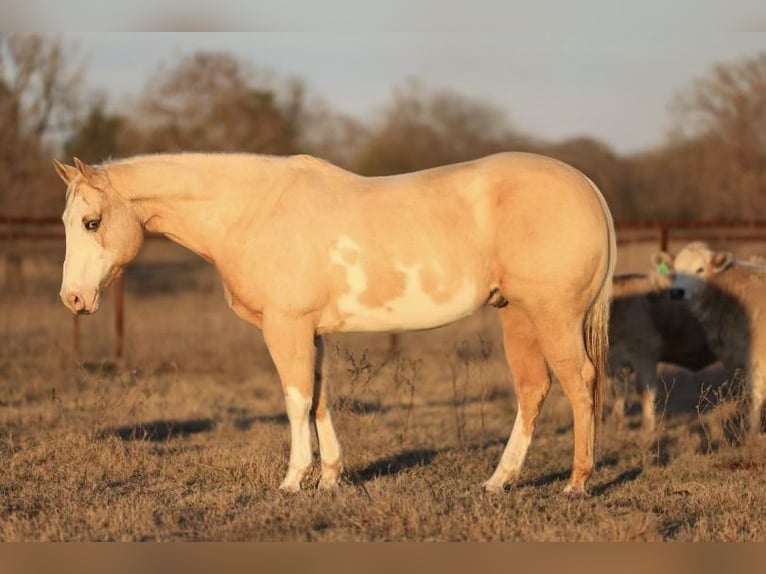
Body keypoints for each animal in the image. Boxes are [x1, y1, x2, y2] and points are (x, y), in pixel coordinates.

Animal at [54, 152, 616, 496]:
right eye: (67, 223)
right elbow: (320, 398)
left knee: (578, 383)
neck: (255, 210)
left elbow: (295, 398)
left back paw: (577, 482)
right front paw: (329, 479)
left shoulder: (286, 327)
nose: (73, 299)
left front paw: (292, 481)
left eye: (91, 222)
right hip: (517, 316)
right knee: (534, 389)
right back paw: (499, 481)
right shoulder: (314, 332)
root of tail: (587, 187)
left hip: (552, 317)